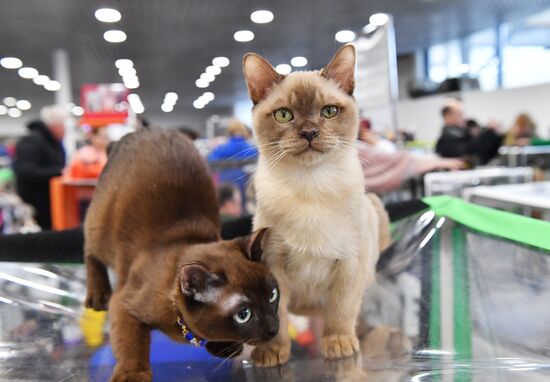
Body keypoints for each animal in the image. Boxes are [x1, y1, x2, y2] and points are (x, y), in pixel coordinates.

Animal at [85, 130, 280, 380]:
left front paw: (224, 347)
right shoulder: (123, 305)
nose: (274, 328)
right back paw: (97, 296)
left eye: (272, 295)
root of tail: (139, 133)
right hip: (100, 226)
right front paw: (133, 374)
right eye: (244, 314)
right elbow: (131, 345)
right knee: (90, 252)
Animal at [244, 45, 390, 368]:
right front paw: (272, 352)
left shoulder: (349, 264)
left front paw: (338, 345)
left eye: (329, 111)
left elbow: (341, 310)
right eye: (284, 115)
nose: (309, 132)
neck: (311, 188)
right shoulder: (273, 266)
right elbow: (277, 316)